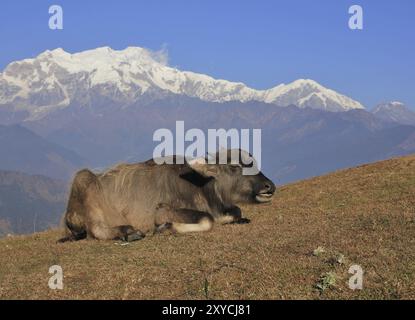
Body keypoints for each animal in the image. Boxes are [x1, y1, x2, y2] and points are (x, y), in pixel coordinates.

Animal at [58, 150, 278, 242]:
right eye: (234, 166)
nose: (270, 186)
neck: (199, 187)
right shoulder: (163, 210)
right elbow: (207, 220)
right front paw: (169, 227)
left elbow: (236, 211)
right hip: (83, 179)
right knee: (95, 230)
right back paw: (129, 232)